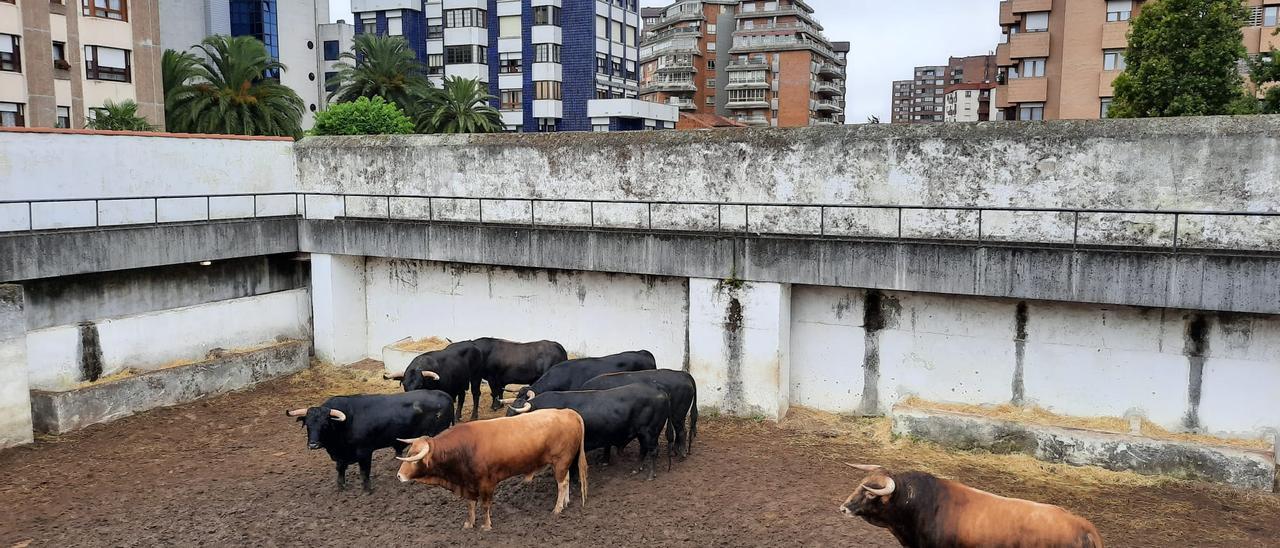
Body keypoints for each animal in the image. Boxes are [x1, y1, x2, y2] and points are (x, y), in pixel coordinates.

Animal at [285, 389, 455, 491]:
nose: (313, 444)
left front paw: (368, 489)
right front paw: (341, 487)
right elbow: (340, 469)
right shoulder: (341, 456)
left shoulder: (365, 452)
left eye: (325, 425)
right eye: (307, 424)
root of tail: (444, 395)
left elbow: (364, 471)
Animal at [394, 407, 588, 530]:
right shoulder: (468, 484)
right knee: (566, 480)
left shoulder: (487, 484)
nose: (399, 476)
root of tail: (567, 412)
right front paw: (469, 523)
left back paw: (557, 508)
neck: (464, 448)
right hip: (563, 463)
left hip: (560, 461)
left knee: (561, 484)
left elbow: (485, 505)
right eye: (409, 452)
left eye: (414, 459)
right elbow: (471, 505)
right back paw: (565, 502)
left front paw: (486, 526)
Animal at [506, 384, 675, 476]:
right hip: (642, 433)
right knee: (643, 450)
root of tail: (659, 389)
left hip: (650, 432)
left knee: (653, 451)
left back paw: (650, 474)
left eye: (516, 415)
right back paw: (636, 469)